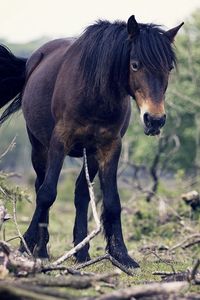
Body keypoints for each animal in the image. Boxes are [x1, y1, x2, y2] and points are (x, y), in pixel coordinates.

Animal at [0, 15, 183, 268]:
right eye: (135, 64)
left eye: (169, 67)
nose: (154, 119)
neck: (95, 94)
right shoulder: (59, 142)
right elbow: (47, 193)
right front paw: (27, 246)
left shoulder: (109, 147)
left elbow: (112, 201)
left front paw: (121, 254)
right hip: (39, 146)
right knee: (40, 186)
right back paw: (41, 249)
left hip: (90, 154)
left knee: (81, 193)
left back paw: (81, 252)